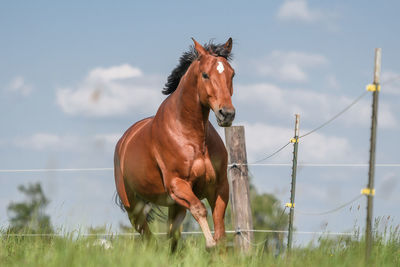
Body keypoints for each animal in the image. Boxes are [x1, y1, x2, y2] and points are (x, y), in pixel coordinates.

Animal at [113, 38, 234, 251]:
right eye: (205, 74)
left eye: (232, 74)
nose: (226, 114)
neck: (193, 138)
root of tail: (123, 141)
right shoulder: (177, 185)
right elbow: (199, 210)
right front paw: (209, 243)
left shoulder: (219, 187)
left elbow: (220, 230)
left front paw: (216, 246)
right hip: (134, 207)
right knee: (148, 237)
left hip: (174, 206)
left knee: (172, 237)